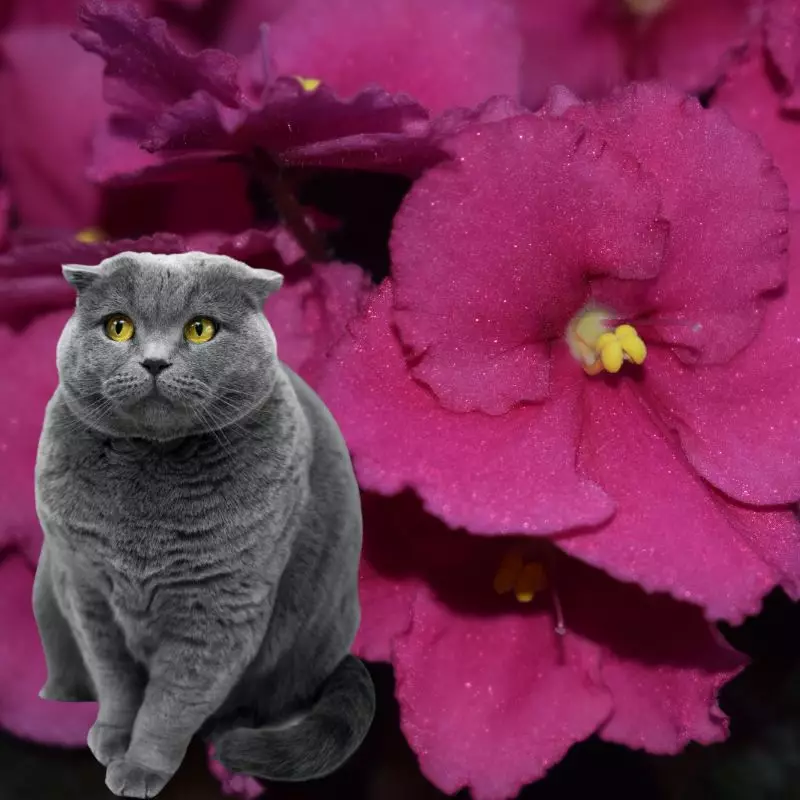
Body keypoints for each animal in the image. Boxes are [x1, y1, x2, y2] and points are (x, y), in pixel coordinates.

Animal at [31, 248, 376, 792]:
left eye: (200, 329)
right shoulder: (87, 591)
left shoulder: (219, 606)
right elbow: (116, 682)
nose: (154, 361)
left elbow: (171, 704)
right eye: (118, 327)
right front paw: (111, 738)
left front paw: (141, 767)